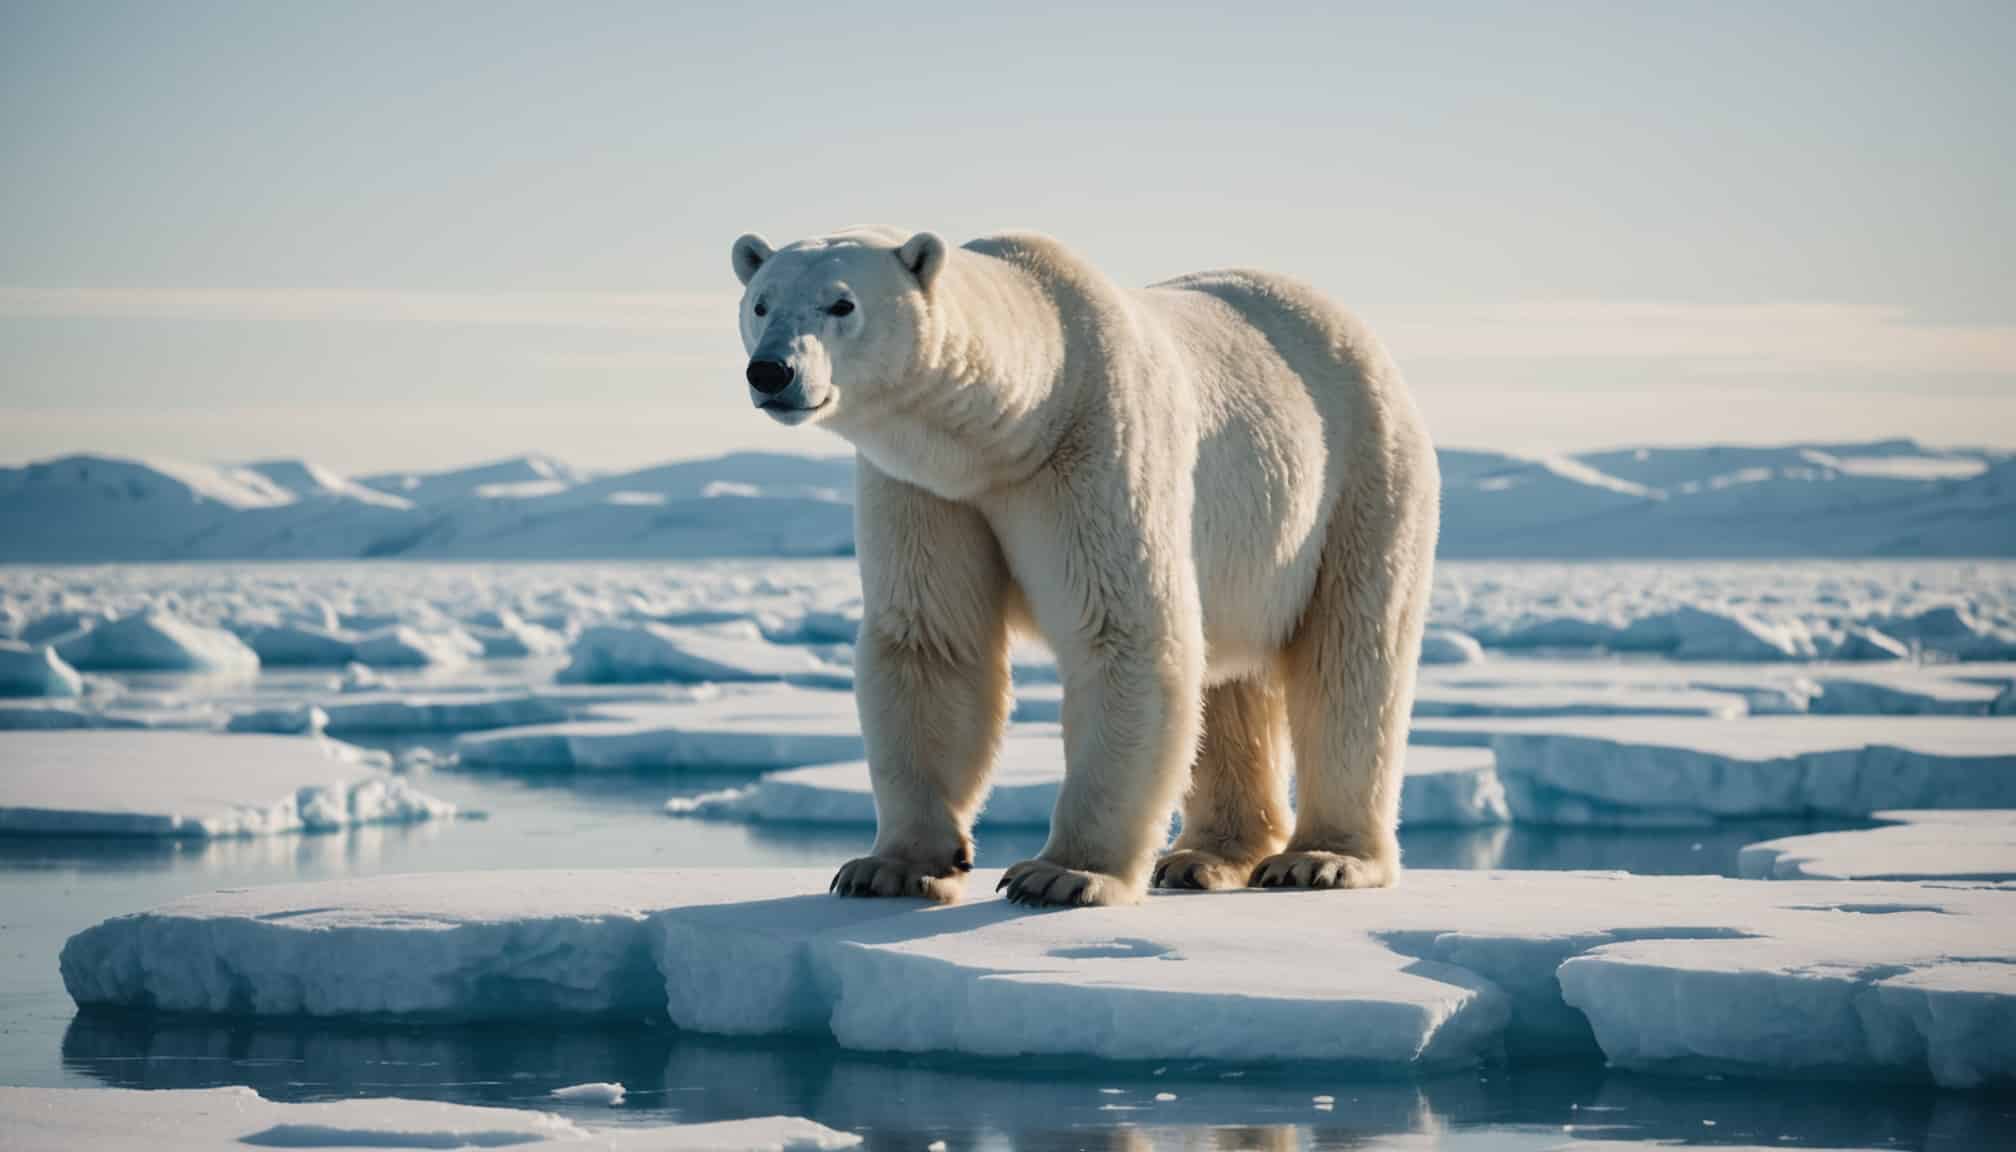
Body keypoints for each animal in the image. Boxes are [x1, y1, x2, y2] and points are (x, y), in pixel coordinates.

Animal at [733, 227, 1443, 911]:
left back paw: (1322, 859)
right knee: (1228, 679)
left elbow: (1122, 630)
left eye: (842, 304)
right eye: (760, 302)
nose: (770, 371)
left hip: (1362, 479)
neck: (1021, 418)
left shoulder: (1098, 447)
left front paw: (1063, 874)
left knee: (1351, 660)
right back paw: (1203, 857)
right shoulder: (927, 488)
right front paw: (891, 866)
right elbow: (932, 639)